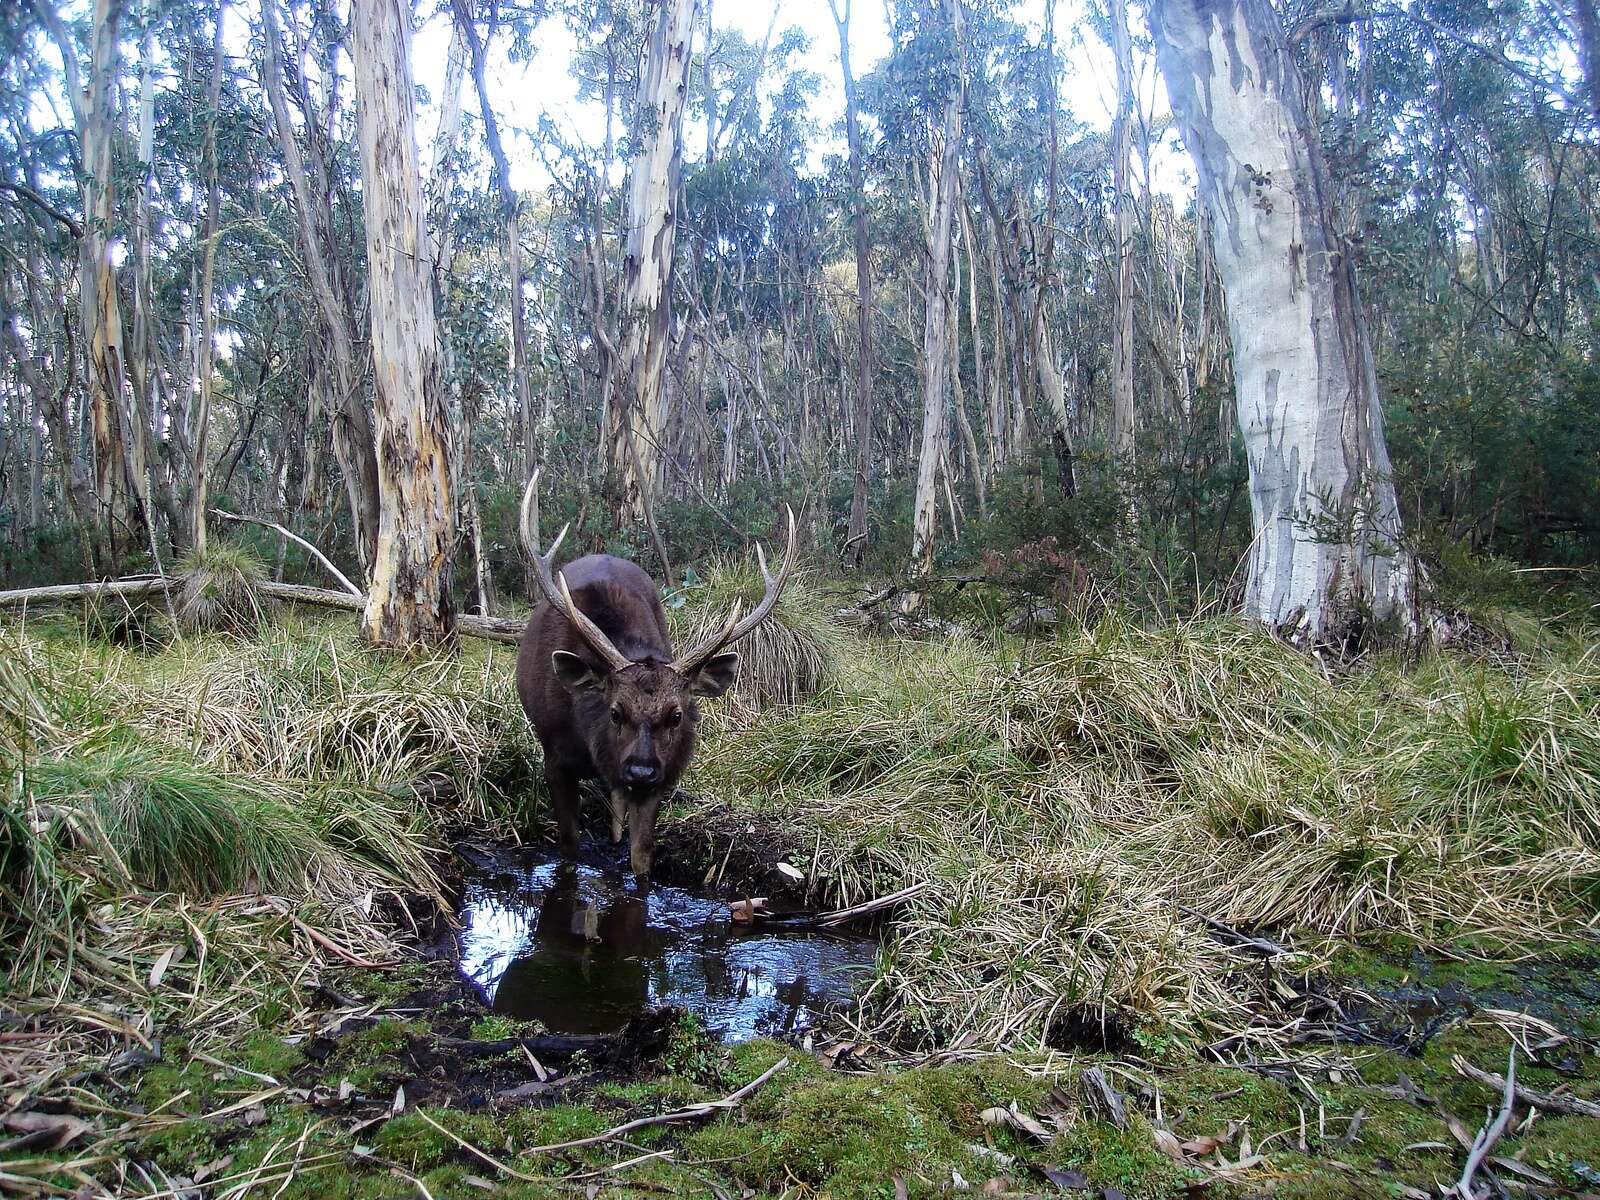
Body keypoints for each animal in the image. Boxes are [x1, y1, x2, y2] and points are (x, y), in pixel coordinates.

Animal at [515, 475, 797, 877]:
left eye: (675, 715)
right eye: (615, 712)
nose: (641, 771)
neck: (587, 737)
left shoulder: (663, 777)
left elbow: (642, 857)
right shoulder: (554, 754)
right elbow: (568, 848)